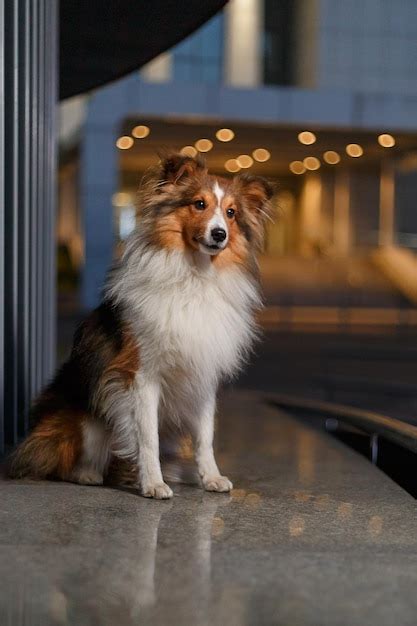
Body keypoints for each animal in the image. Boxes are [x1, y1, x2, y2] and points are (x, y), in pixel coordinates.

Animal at [9, 151, 272, 498]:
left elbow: (205, 437)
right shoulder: (140, 376)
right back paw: (89, 474)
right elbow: (147, 437)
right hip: (86, 418)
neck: (194, 278)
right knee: (70, 461)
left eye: (231, 213)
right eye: (199, 204)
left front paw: (211, 478)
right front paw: (153, 484)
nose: (219, 235)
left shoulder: (202, 376)